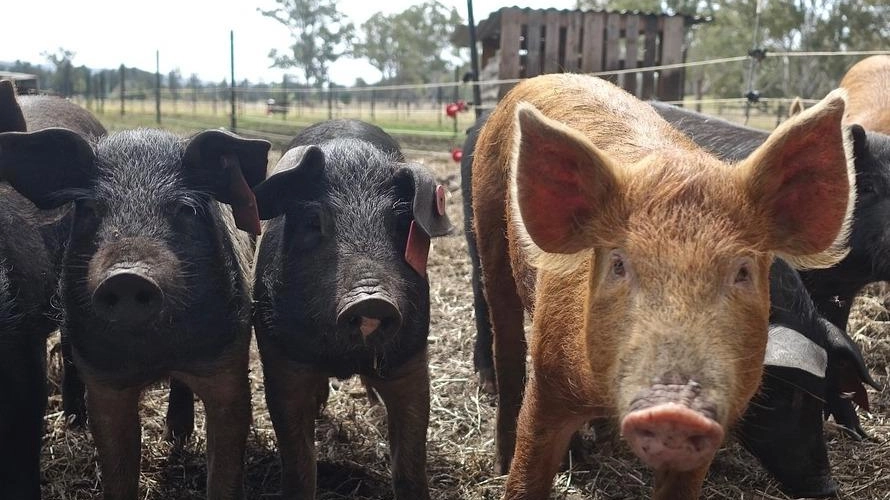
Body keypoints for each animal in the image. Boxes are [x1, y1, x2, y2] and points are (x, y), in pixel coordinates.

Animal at [0, 123, 268, 498]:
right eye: (90, 208)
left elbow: (225, 465)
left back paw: (177, 436)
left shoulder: (228, 359)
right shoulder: (103, 378)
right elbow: (117, 467)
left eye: (184, 208)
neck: (155, 354)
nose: (126, 277)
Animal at [253, 119, 454, 498]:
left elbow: (409, 464)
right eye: (313, 221)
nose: (371, 298)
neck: (343, 359)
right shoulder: (281, 359)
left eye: (399, 223)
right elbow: (299, 465)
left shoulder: (410, 360)